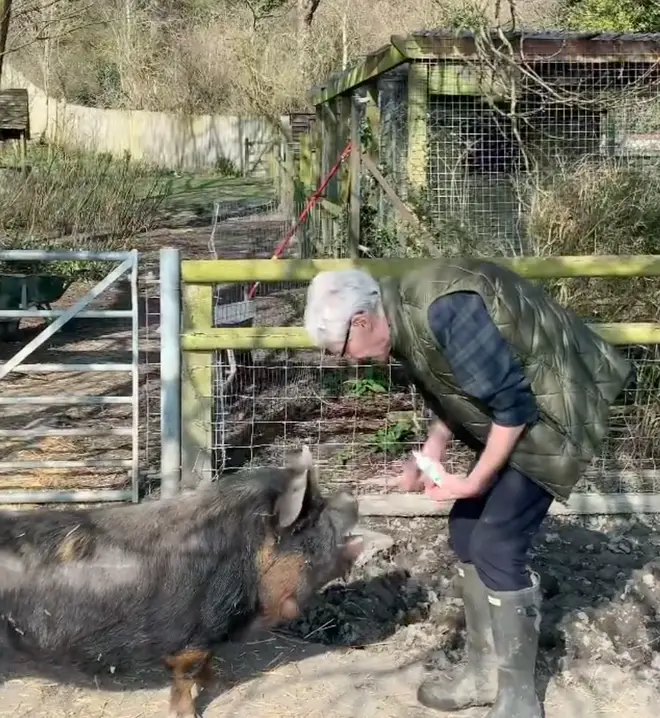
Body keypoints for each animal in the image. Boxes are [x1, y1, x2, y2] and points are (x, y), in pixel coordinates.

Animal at [0, 448, 366, 716]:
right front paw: (189, 713)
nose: (352, 495)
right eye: (315, 515)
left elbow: (208, 664)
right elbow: (186, 675)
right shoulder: (190, 633)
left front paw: (225, 682)